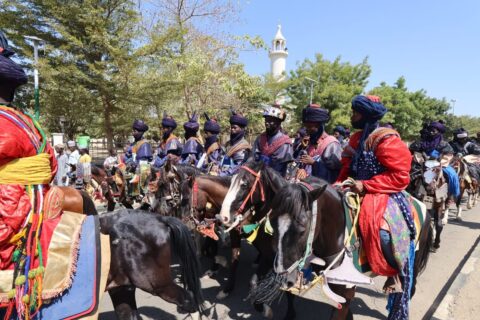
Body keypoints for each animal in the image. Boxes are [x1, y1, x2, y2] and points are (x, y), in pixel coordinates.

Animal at [264, 181, 434, 318]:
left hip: (412, 263)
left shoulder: (344, 291)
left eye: (302, 230)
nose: (282, 279)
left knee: (408, 290)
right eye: (272, 224)